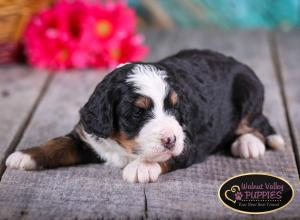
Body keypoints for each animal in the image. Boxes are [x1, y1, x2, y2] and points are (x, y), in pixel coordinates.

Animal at [5, 49, 284, 182]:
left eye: (174, 108)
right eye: (137, 113)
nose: (170, 139)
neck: (121, 147)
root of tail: (238, 63)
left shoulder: (188, 142)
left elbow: (165, 157)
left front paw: (141, 167)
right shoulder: (86, 136)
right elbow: (58, 144)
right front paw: (24, 155)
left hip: (248, 93)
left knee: (259, 123)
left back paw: (248, 144)